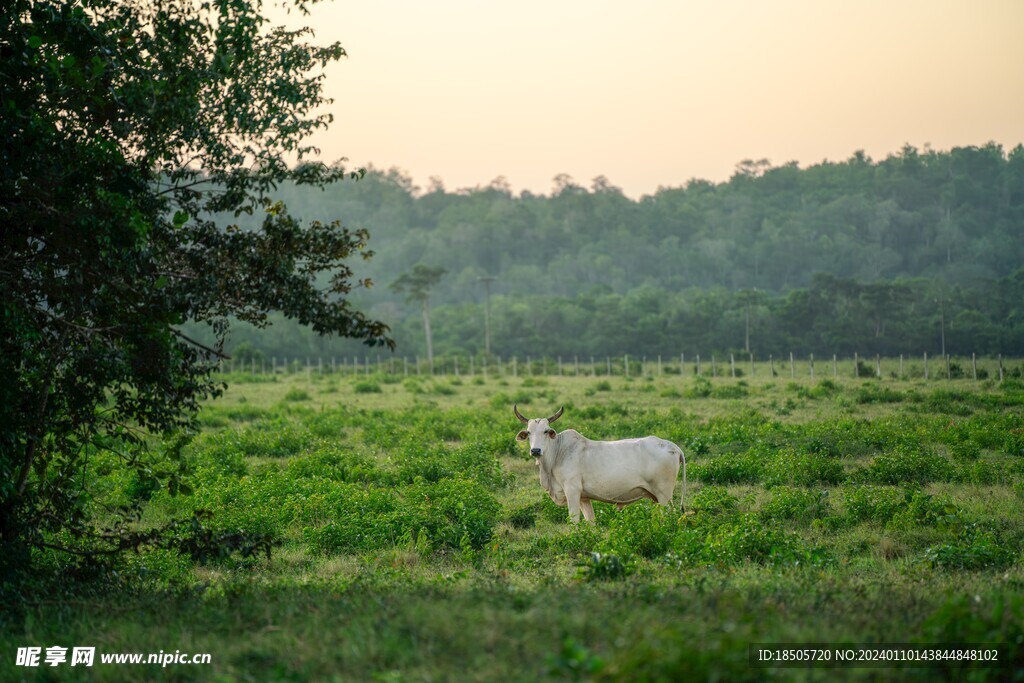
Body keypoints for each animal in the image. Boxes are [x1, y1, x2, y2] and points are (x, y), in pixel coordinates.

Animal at [512, 405, 688, 524]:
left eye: (546, 431)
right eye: (529, 433)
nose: (535, 450)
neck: (558, 453)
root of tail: (672, 446)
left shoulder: (572, 491)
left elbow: (574, 521)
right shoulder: (584, 498)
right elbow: (591, 522)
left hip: (664, 496)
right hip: (655, 497)